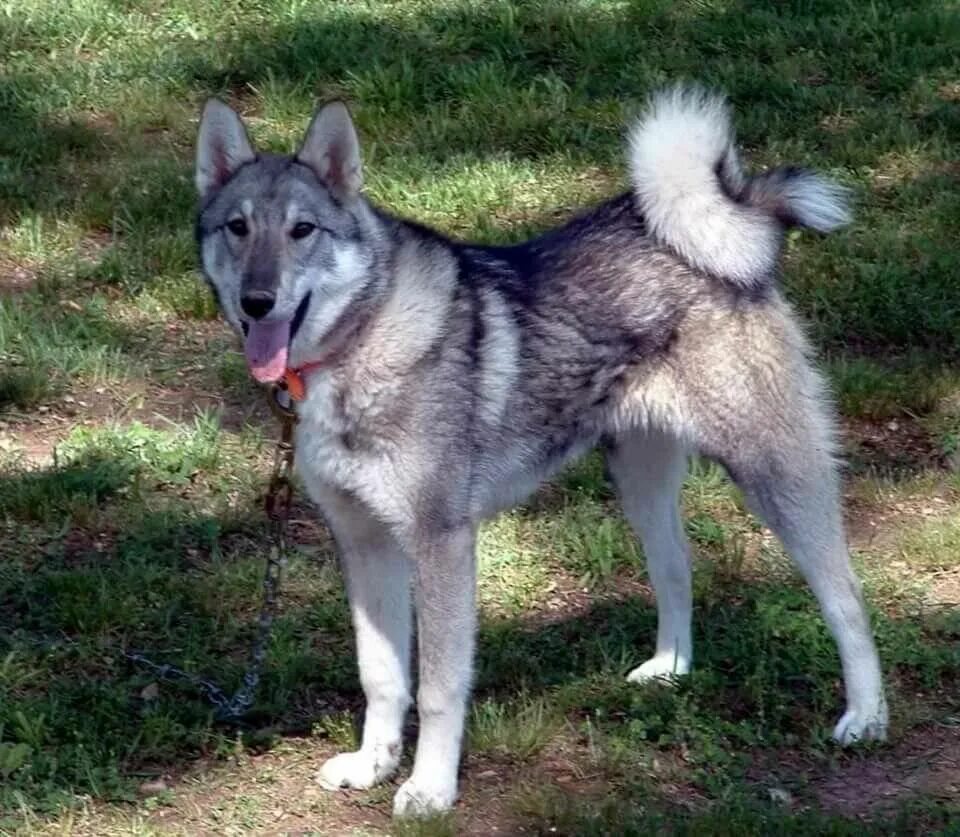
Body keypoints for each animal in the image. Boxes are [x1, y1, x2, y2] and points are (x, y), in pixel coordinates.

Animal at [193, 86, 884, 816]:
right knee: (677, 571)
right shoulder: (365, 545)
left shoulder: (440, 545)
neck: (362, 340)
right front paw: (373, 764)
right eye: (237, 228)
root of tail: (731, 217)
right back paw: (669, 670)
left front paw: (430, 787)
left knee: (845, 597)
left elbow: (437, 688)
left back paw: (866, 716)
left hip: (775, 473)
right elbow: (380, 674)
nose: (257, 300)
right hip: (639, 483)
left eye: (303, 230)